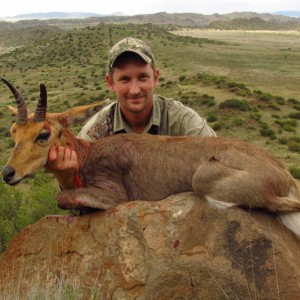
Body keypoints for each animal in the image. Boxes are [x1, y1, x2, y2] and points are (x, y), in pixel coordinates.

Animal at [1, 78, 300, 239]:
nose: (8, 173)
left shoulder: (114, 197)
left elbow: (62, 197)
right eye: (14, 131)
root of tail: (283, 172)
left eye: (43, 133)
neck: (88, 154)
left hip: (204, 180)